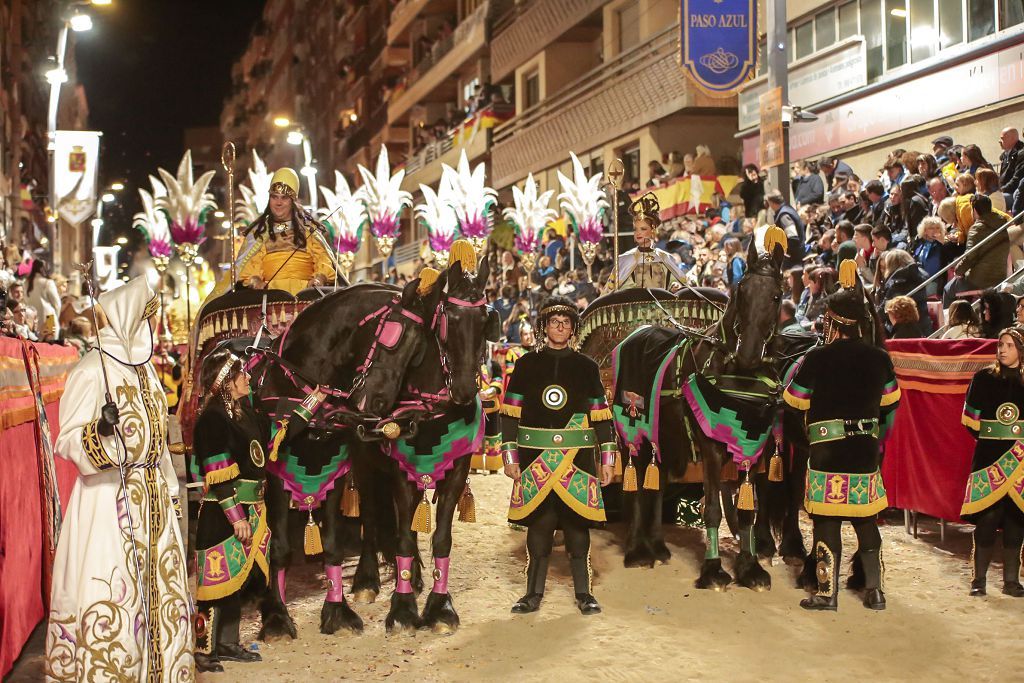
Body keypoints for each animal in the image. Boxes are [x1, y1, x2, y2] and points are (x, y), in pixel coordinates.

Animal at [252, 274, 444, 638]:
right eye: (394, 338)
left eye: (417, 354)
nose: (381, 404)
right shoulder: (276, 472)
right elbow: (280, 546)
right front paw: (277, 617)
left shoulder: (336, 469)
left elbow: (332, 543)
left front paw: (337, 612)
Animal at [350, 255, 497, 634]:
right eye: (449, 320)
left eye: (484, 320)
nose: (464, 390)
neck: (431, 412)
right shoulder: (402, 473)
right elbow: (402, 533)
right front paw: (402, 608)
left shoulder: (456, 472)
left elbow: (440, 538)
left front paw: (440, 606)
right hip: (365, 463)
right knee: (370, 515)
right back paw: (367, 581)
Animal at [610, 237, 786, 589]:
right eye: (742, 290)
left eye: (776, 296)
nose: (748, 354)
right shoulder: (711, 448)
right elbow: (713, 509)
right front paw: (713, 570)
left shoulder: (754, 446)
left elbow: (747, 512)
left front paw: (750, 567)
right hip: (632, 430)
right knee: (635, 485)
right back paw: (637, 550)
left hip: (662, 434)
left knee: (658, 482)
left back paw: (657, 545)